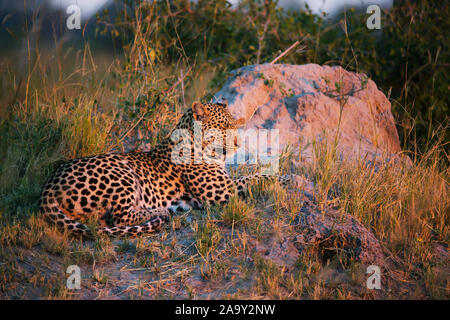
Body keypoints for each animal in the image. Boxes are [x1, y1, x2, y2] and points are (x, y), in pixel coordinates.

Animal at [38, 100, 288, 238]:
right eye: (222, 127)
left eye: (235, 126)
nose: (237, 144)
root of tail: (49, 185)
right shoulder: (222, 192)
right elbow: (257, 177)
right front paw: (288, 178)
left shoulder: (226, 185)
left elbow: (253, 175)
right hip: (121, 171)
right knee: (120, 217)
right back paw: (160, 211)